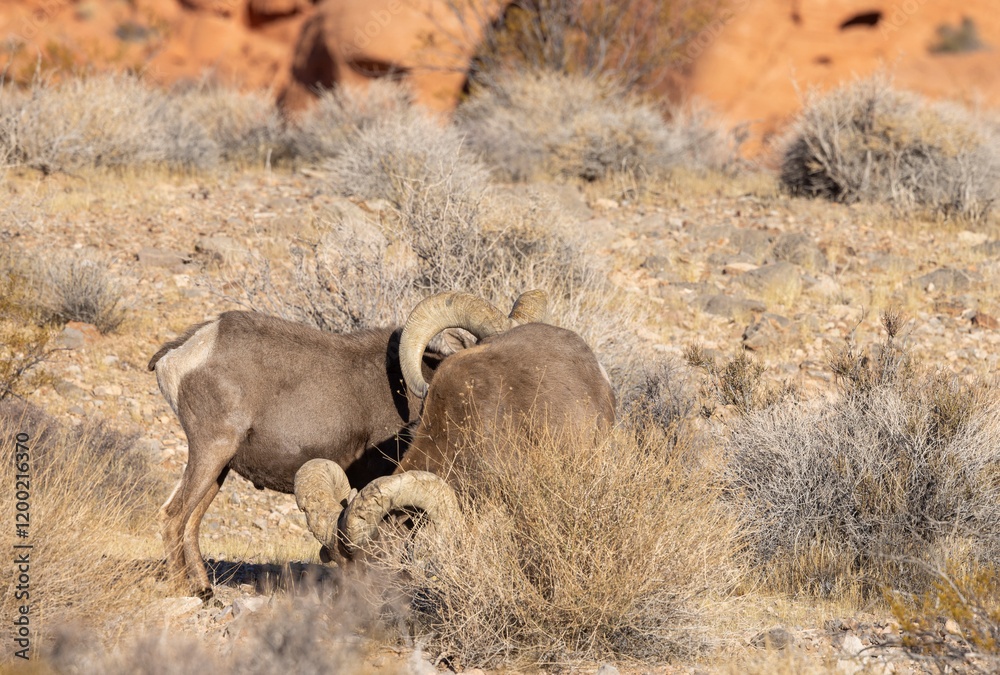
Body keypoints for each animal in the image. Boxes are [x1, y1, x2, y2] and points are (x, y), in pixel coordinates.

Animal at [148, 291, 545, 599]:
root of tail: (180, 353)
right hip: (211, 451)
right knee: (172, 516)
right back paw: (184, 592)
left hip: (221, 468)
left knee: (190, 522)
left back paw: (204, 590)